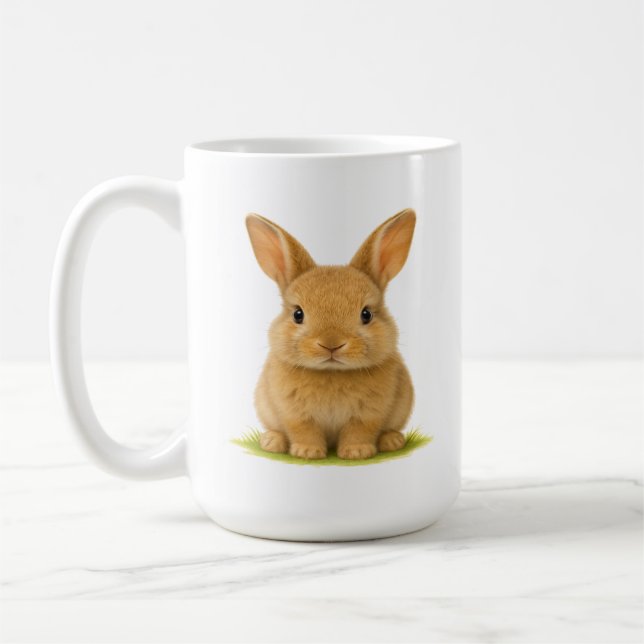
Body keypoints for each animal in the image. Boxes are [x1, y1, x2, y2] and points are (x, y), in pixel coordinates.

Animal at [245, 208, 416, 460]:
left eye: (366, 314)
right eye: (298, 314)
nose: (331, 344)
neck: (332, 372)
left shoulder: (368, 413)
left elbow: (359, 430)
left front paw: (356, 452)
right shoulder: (295, 413)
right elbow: (304, 430)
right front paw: (307, 452)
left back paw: (392, 441)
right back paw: (272, 442)